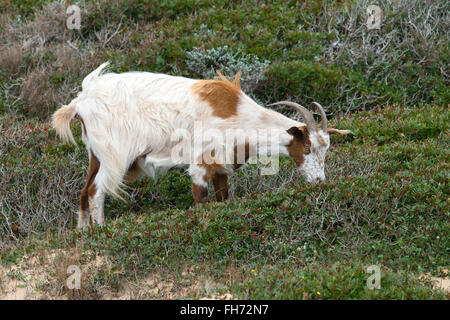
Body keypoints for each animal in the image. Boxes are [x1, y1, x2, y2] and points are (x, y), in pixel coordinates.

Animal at [51, 62, 348, 228]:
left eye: (326, 150)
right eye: (308, 149)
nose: (319, 181)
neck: (237, 114)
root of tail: (81, 101)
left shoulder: (221, 169)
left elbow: (223, 199)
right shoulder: (200, 165)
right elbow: (201, 201)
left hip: (95, 154)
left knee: (84, 191)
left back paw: (84, 234)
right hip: (114, 156)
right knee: (96, 191)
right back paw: (103, 232)